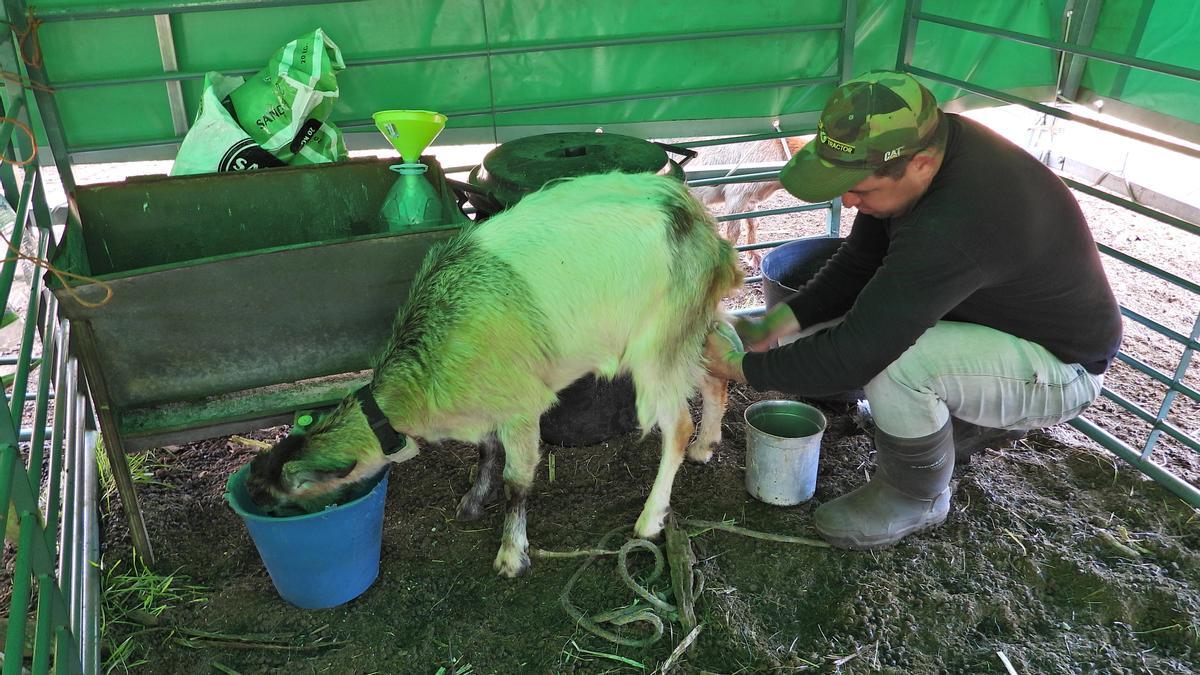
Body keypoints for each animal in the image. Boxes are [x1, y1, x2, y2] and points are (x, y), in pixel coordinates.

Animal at [248, 170, 744, 576]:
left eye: (284, 506)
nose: (255, 502)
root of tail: (703, 225)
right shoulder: (489, 400)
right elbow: (485, 450)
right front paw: (472, 501)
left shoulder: (522, 406)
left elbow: (517, 482)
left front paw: (511, 554)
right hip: (687, 329)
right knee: (715, 372)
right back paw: (706, 445)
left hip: (655, 344)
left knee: (677, 422)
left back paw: (650, 518)